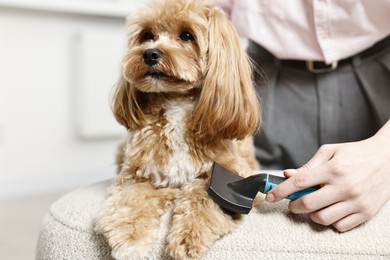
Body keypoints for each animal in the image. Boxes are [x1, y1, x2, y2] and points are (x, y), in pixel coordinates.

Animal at [93, 0, 262, 258]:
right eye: (147, 36)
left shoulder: (233, 169)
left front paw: (188, 237)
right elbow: (131, 201)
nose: (150, 53)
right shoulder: (133, 176)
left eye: (186, 35)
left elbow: (202, 194)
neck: (176, 103)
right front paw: (131, 240)